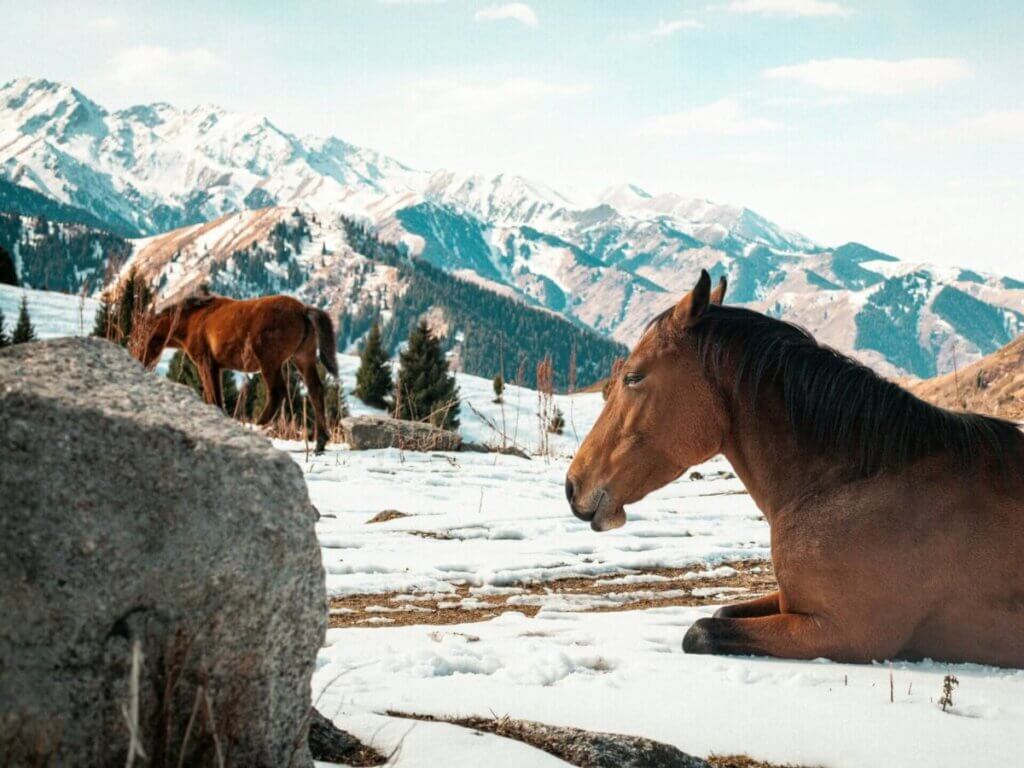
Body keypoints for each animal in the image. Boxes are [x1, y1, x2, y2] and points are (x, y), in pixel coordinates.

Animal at [140, 293, 340, 453]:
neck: (193, 320)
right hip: (303, 357)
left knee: (277, 392)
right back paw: (320, 442)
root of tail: (303, 310)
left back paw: (259, 426)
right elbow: (213, 397)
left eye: (143, 336)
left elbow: (214, 397)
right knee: (315, 390)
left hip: (270, 361)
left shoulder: (206, 362)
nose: (141, 360)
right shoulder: (216, 367)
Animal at [566, 270, 1024, 668]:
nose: (574, 486)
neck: (846, 484)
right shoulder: (792, 604)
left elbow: (701, 630)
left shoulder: (841, 633)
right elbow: (723, 612)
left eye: (633, 377)